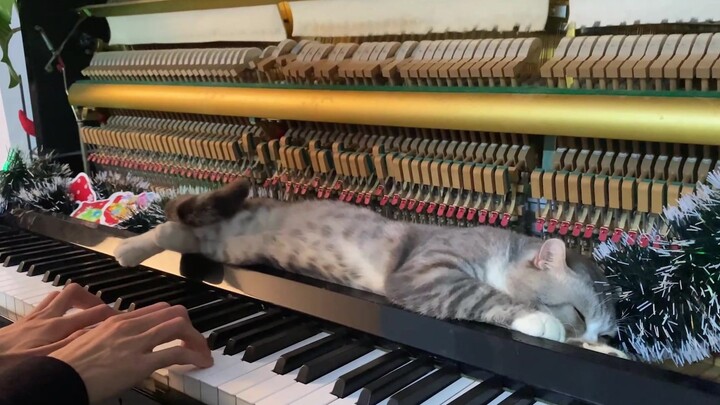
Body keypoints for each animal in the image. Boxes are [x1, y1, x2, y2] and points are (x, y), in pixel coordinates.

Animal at [114, 178, 620, 342]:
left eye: (602, 333)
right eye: (577, 314)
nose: (583, 340)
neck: (499, 253)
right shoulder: (424, 271)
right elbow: (480, 296)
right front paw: (540, 322)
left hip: (223, 244)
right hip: (216, 236)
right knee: (170, 225)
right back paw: (125, 249)